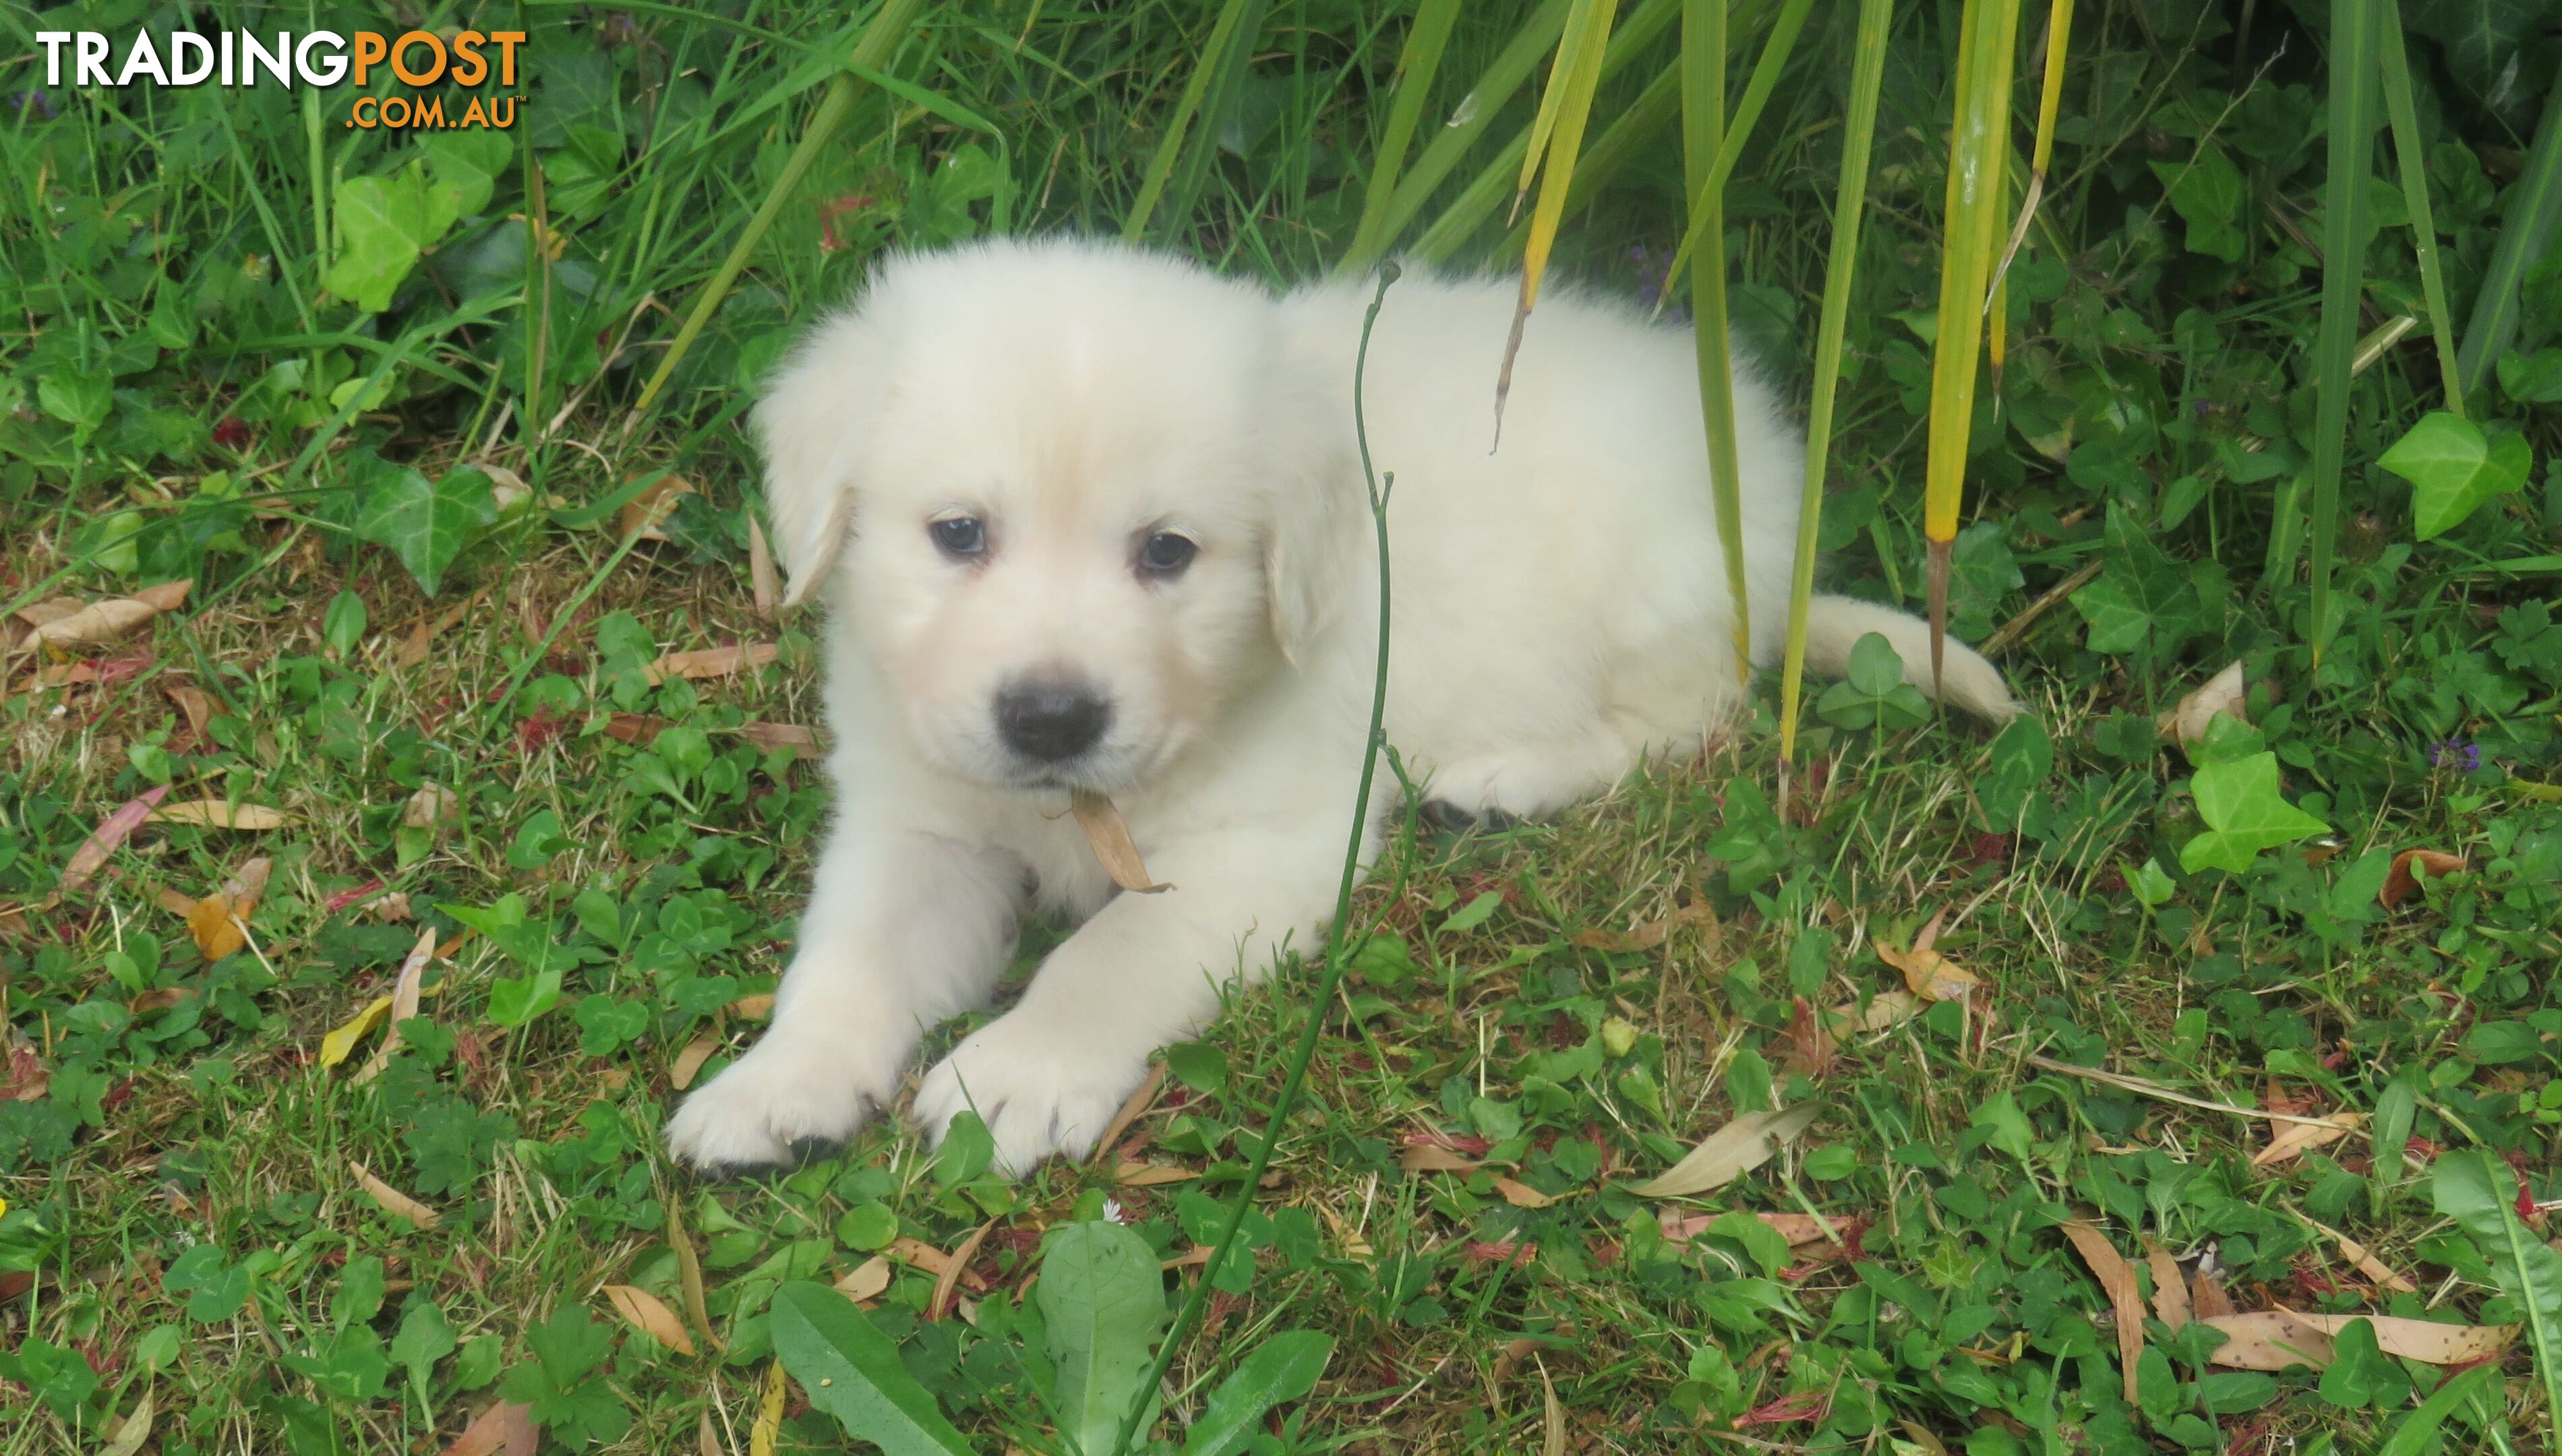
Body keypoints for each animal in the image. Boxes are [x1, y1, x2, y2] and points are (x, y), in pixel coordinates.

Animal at [666, 235, 2019, 1174]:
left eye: (1169, 553)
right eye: (957, 534)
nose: (1051, 721)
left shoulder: (1274, 843)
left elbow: (1112, 954)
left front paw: (1014, 1076)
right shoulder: (919, 818)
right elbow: (851, 952)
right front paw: (774, 1085)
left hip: (1658, 589)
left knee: (1695, 717)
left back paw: (1501, 780)